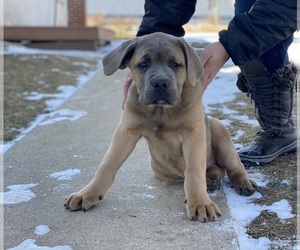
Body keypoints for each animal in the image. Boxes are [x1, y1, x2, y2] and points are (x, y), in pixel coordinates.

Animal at [64, 32, 256, 222]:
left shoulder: (194, 132)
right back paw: (212, 178)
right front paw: (87, 193)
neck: (160, 110)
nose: (161, 83)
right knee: (214, 169)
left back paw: (241, 182)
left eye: (175, 64)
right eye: (143, 64)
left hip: (219, 129)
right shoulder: (126, 131)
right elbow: (107, 164)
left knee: (232, 165)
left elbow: (194, 170)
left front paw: (200, 203)